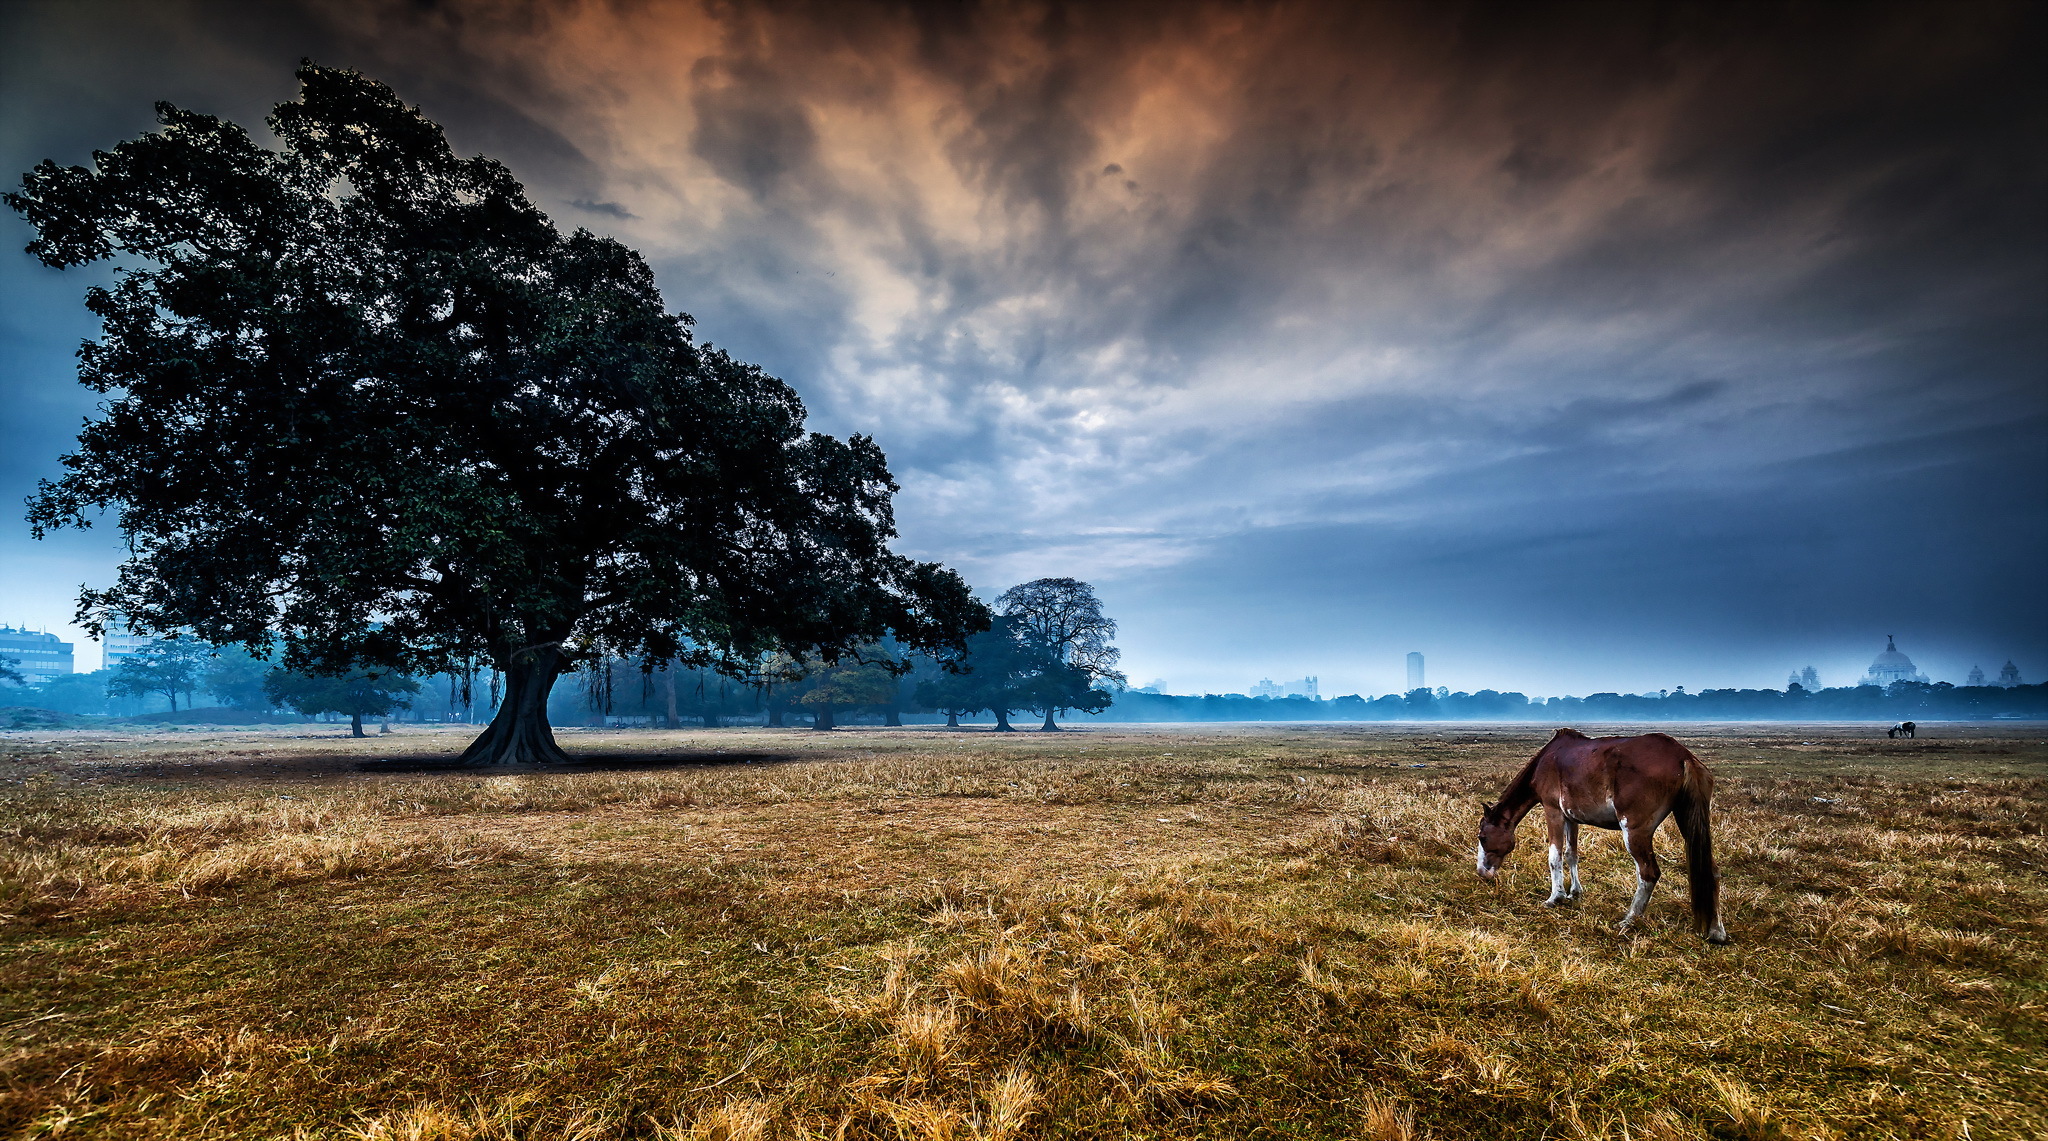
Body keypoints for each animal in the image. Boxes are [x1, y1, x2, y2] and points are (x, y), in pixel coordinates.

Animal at [1474, 729, 1728, 942]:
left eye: (1482, 837)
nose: (1482, 873)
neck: (1547, 761)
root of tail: (1683, 756)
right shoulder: (1571, 818)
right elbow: (1571, 854)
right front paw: (1574, 893)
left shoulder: (1553, 811)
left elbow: (1554, 857)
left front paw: (1555, 897)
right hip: (1687, 819)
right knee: (1712, 871)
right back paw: (1717, 931)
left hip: (1635, 832)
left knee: (1649, 873)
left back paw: (1628, 920)